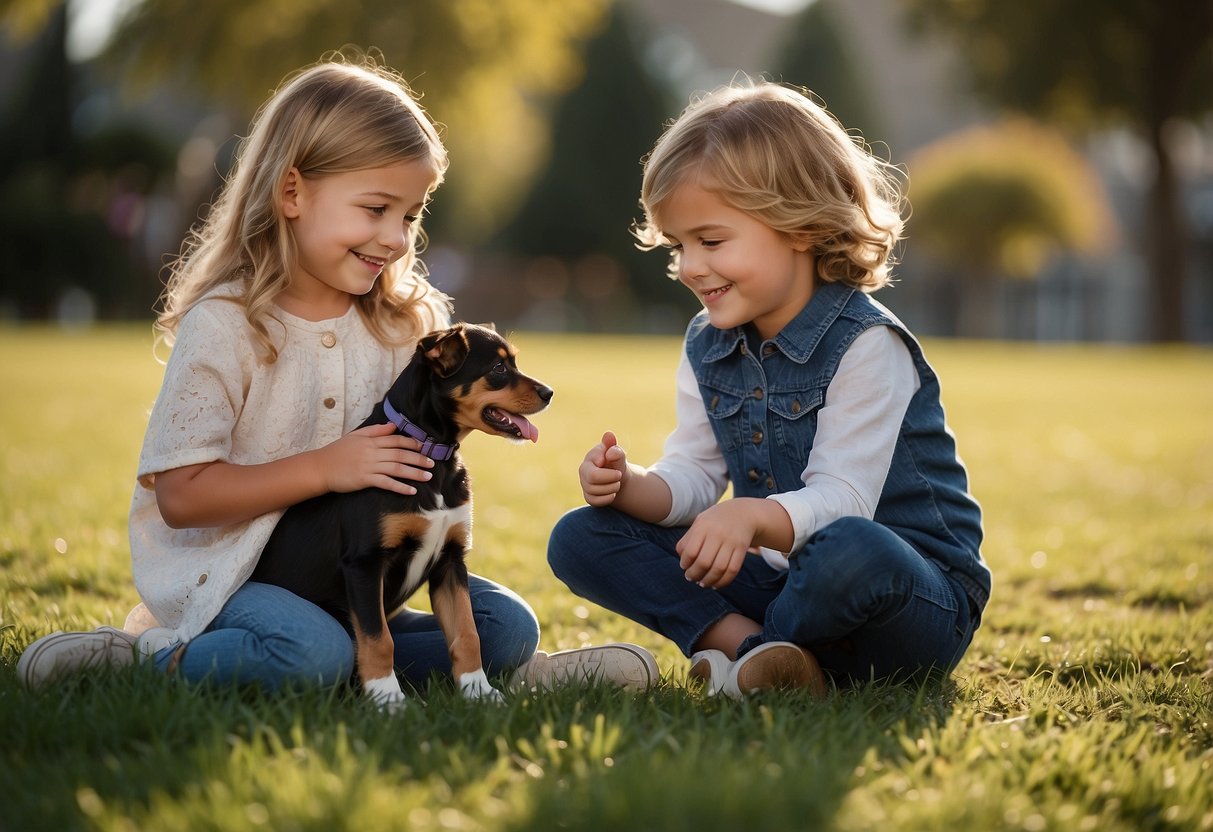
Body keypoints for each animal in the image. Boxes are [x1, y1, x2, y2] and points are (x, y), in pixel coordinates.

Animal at [252, 325, 555, 708]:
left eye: (512, 362)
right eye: (498, 369)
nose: (549, 393)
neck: (433, 454)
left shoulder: (450, 561)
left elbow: (468, 633)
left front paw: (479, 693)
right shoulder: (364, 563)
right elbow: (379, 640)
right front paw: (388, 701)